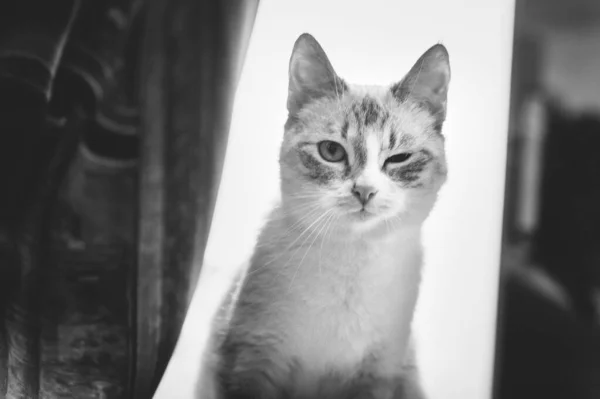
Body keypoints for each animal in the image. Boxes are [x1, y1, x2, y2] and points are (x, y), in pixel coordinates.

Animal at [209, 32, 448, 399]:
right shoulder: (254, 359)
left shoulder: (376, 374)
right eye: (332, 151)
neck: (353, 258)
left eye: (399, 158)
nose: (364, 191)